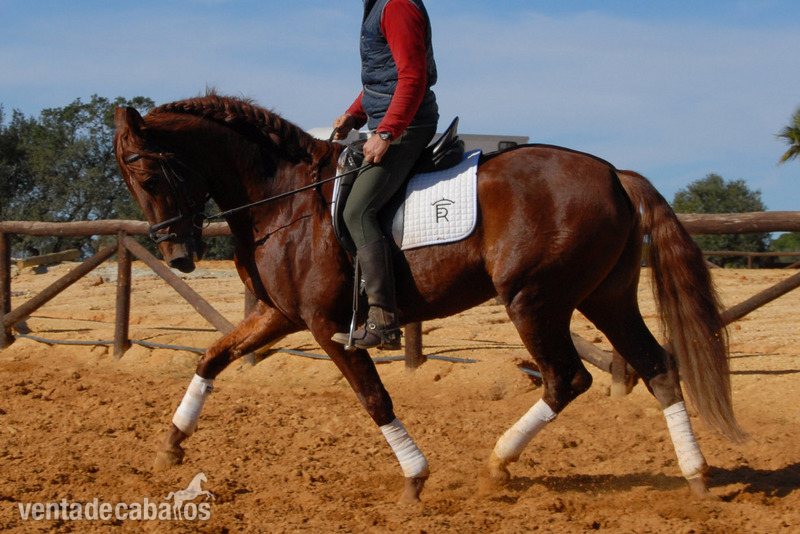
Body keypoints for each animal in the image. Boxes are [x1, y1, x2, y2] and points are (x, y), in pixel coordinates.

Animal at [113, 93, 744, 503]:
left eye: (148, 176)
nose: (178, 257)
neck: (283, 197)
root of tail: (614, 174)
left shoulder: (325, 326)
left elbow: (375, 399)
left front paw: (415, 478)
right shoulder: (279, 316)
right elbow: (211, 358)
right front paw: (170, 446)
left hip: (533, 300)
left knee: (567, 379)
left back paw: (497, 464)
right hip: (604, 298)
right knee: (658, 366)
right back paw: (696, 475)